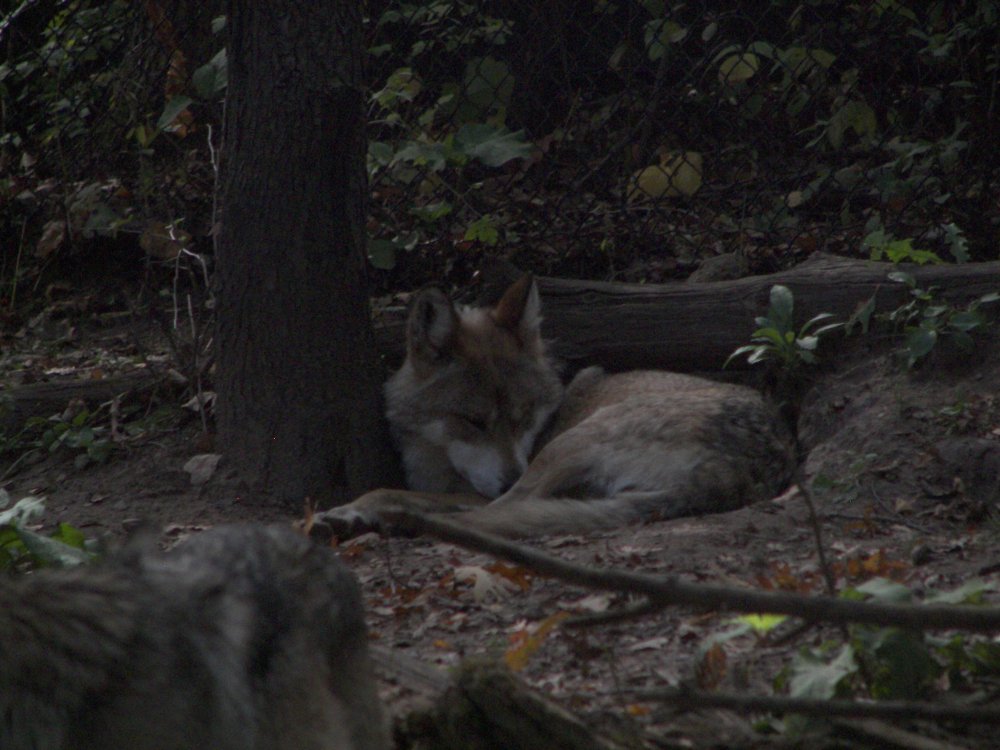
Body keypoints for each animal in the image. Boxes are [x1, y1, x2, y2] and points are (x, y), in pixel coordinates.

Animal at [320, 274, 796, 536]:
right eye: (474, 421)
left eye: (524, 416)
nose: (510, 476)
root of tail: (745, 470)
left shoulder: (487, 484)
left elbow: (387, 490)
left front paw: (346, 511)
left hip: (568, 445)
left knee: (500, 511)